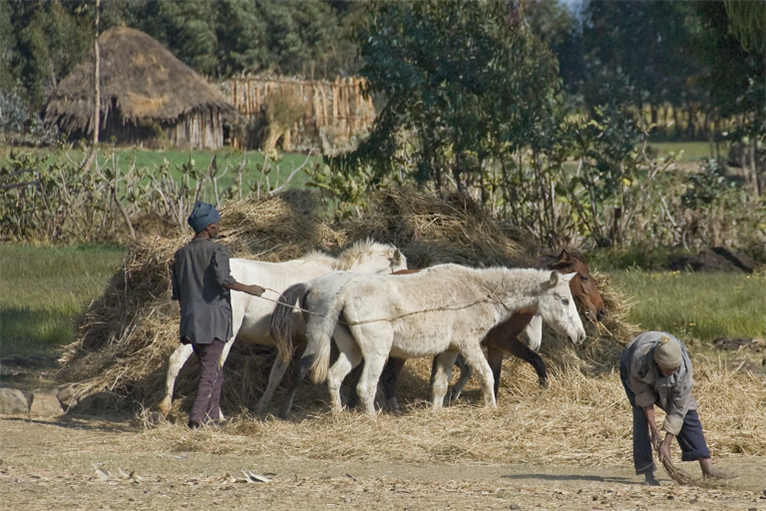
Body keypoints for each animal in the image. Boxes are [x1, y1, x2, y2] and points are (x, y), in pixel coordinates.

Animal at [156, 240, 408, 416]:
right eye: (401, 271)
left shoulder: (291, 342)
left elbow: (277, 374)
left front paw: (261, 407)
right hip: (225, 336)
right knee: (215, 369)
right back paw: (216, 415)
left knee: (177, 360)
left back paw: (164, 408)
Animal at [300, 264, 588, 416]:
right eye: (564, 300)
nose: (580, 336)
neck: (478, 291)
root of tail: (343, 294)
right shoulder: (468, 344)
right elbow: (487, 375)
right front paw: (491, 408)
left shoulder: (450, 350)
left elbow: (439, 384)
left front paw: (437, 412)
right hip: (376, 353)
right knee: (366, 387)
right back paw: (373, 420)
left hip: (353, 351)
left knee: (335, 376)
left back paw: (338, 415)